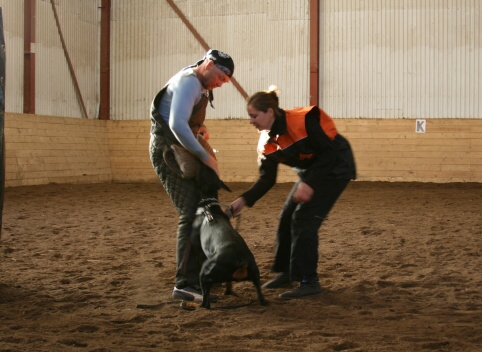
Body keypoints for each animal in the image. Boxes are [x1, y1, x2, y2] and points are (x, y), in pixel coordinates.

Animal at [191, 165, 268, 308]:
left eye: (204, 171)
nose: (202, 164)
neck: (210, 209)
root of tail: (242, 261)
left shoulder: (196, 245)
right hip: (255, 273)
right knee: (259, 294)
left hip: (205, 272)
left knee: (206, 301)